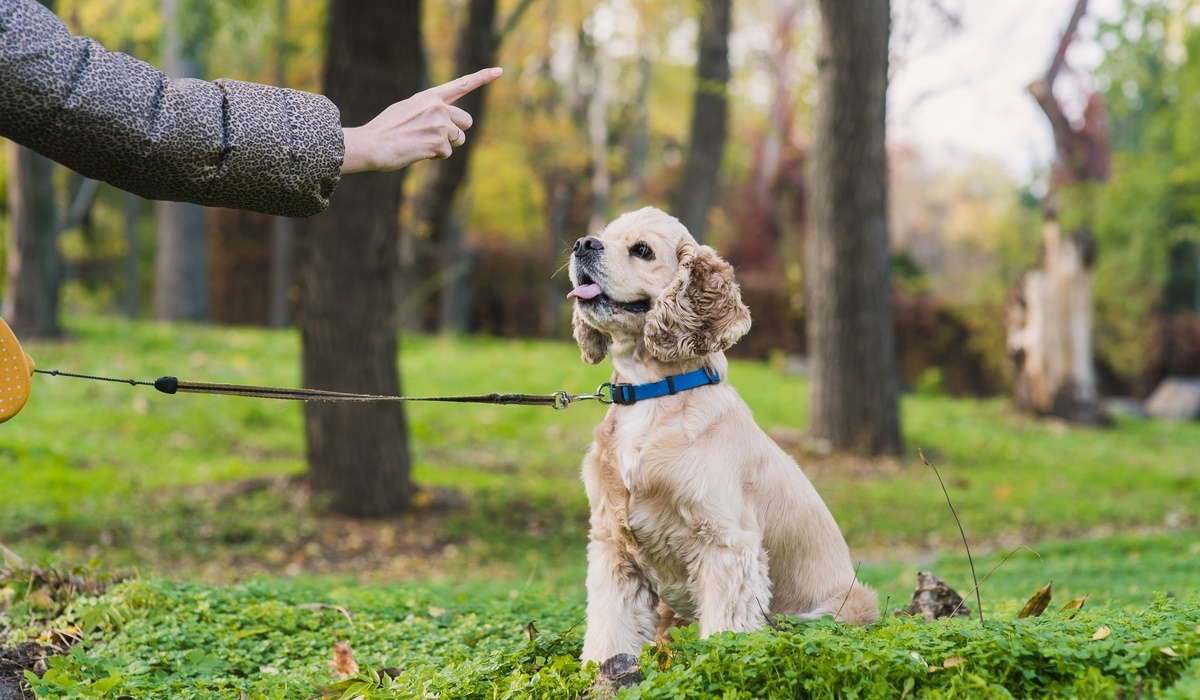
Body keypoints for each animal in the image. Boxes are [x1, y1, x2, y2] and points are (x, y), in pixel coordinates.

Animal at [566, 206, 878, 662]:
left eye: (642, 250)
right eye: (603, 235)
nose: (582, 243)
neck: (651, 394)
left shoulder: (726, 544)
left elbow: (724, 631)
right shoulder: (613, 544)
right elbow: (611, 626)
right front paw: (604, 667)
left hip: (841, 606)